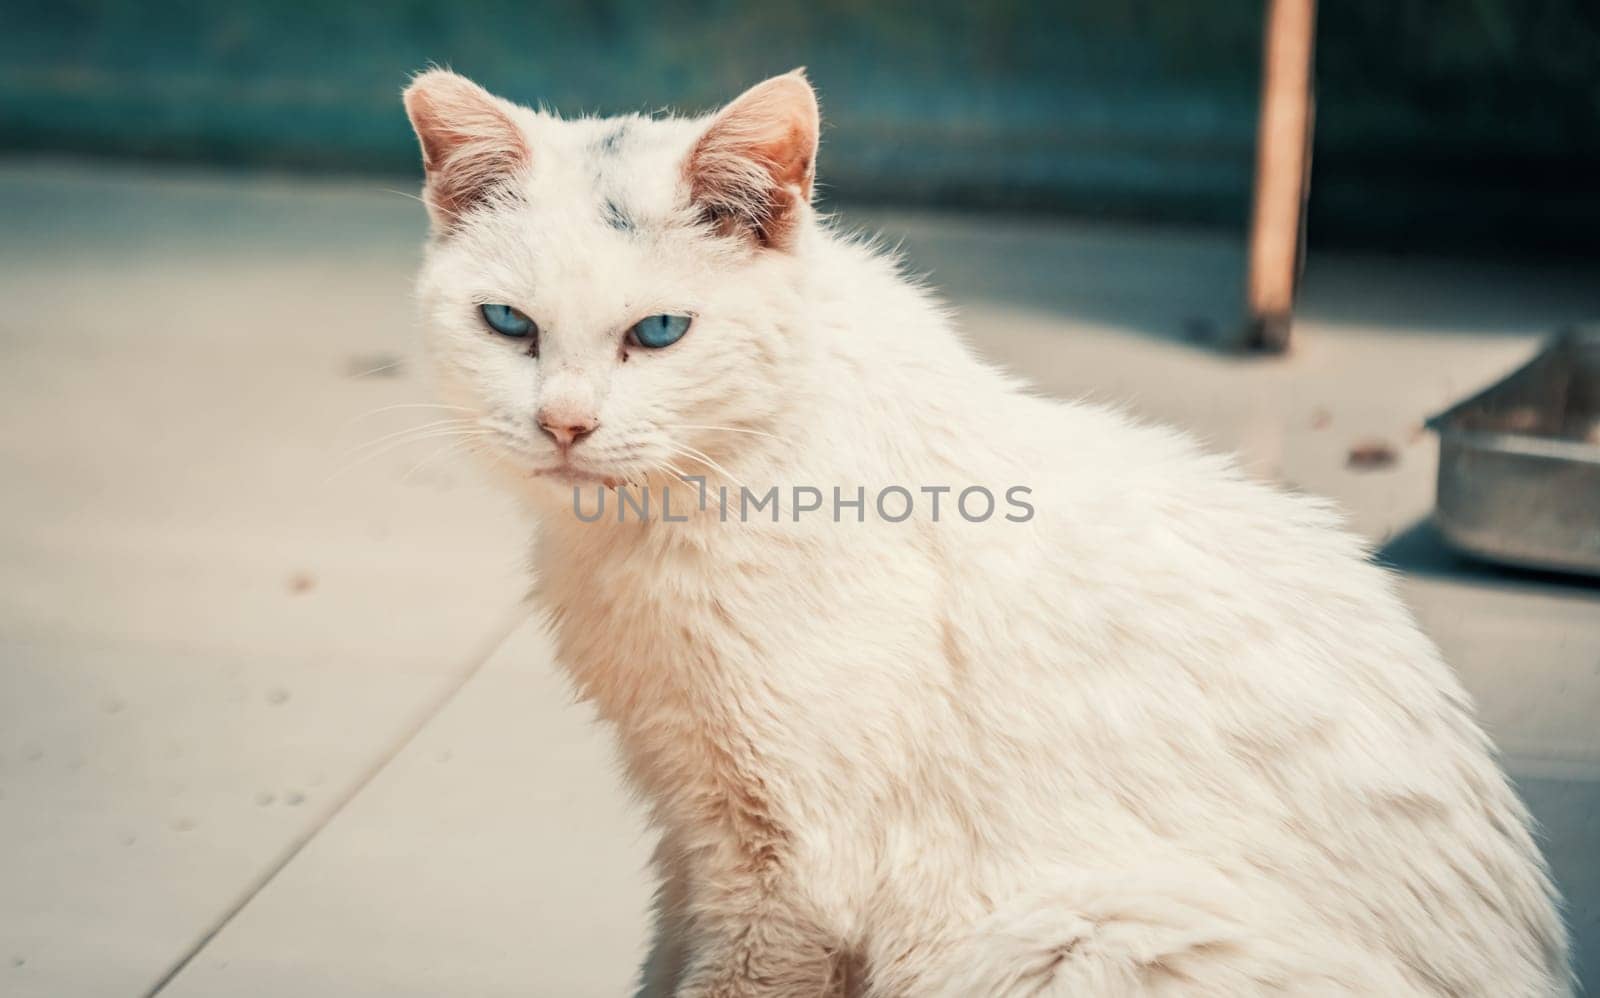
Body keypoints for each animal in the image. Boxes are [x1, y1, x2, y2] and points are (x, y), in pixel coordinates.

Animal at [400, 70, 1561, 997]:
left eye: (658, 332)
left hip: (1088, 938)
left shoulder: (791, 875)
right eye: (508, 324)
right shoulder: (690, 832)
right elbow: (659, 960)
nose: (563, 423)